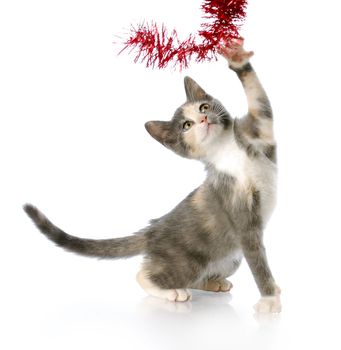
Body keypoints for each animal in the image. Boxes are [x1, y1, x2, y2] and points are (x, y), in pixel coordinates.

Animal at [23, 39, 278, 314]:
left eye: (204, 106)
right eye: (186, 125)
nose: (203, 119)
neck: (227, 150)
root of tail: (153, 229)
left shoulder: (258, 135)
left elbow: (261, 105)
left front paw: (238, 59)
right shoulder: (240, 215)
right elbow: (258, 261)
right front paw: (270, 299)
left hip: (230, 257)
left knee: (199, 276)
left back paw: (214, 283)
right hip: (187, 259)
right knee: (148, 275)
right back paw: (171, 292)